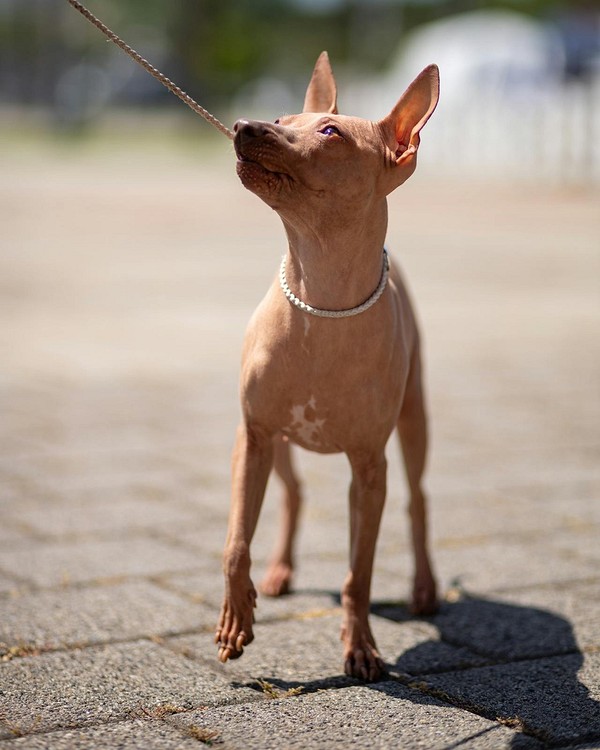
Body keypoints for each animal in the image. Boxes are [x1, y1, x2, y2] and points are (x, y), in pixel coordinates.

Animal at [217, 54, 440, 688]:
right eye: (280, 119)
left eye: (331, 132)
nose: (243, 125)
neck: (321, 298)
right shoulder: (253, 435)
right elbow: (235, 542)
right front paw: (236, 616)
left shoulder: (369, 469)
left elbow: (357, 575)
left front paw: (360, 647)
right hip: (277, 445)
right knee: (292, 495)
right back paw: (278, 571)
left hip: (413, 425)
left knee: (417, 501)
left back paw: (424, 589)